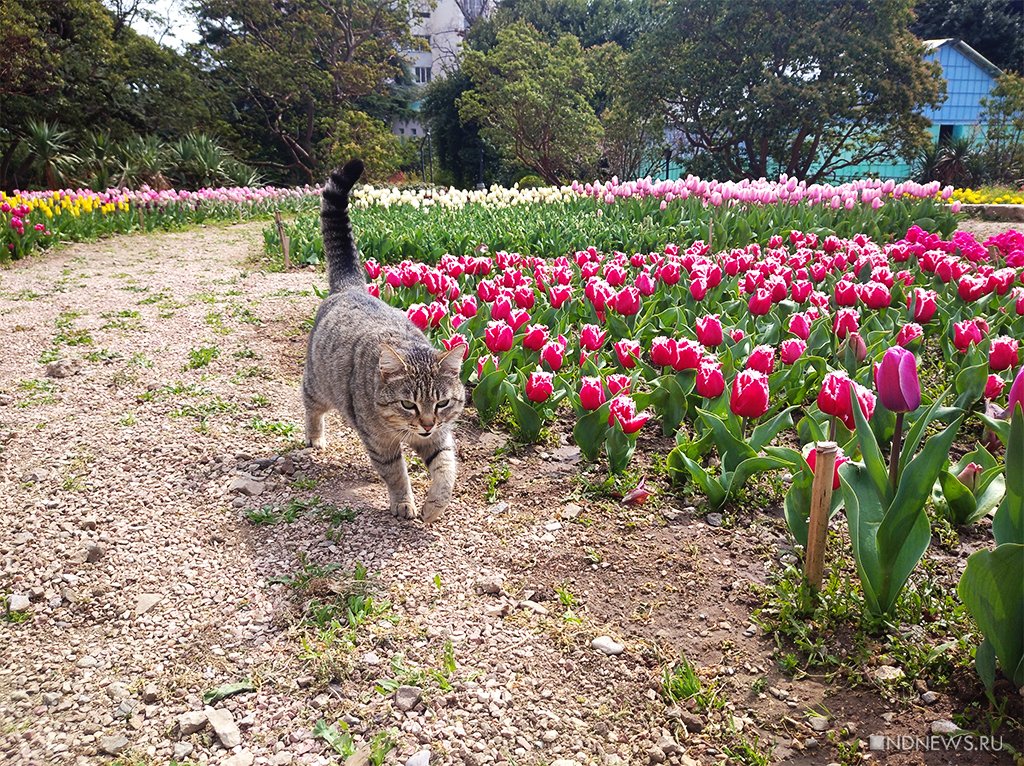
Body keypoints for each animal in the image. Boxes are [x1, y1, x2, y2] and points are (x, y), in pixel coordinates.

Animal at [301, 158, 466, 524]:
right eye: (408, 404)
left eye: (442, 404)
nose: (426, 423)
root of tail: (351, 287)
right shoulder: (381, 443)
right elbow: (396, 473)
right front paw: (404, 502)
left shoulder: (440, 437)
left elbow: (447, 470)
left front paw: (435, 505)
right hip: (318, 383)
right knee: (310, 405)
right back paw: (315, 437)